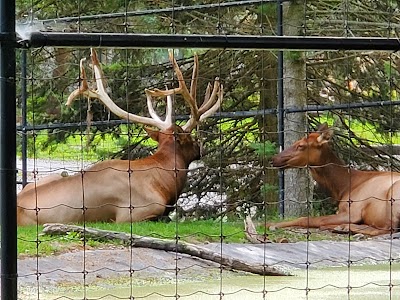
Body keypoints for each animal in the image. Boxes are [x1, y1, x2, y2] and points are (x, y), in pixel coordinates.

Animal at [268, 123, 400, 236]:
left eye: (301, 145)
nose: (273, 159)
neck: (343, 188)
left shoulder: (353, 211)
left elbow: (307, 219)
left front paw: (272, 224)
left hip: (392, 196)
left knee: (388, 228)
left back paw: (342, 227)